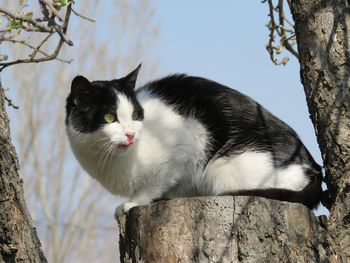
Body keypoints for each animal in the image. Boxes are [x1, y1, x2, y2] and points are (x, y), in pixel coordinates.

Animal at [65, 65, 322, 218]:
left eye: (136, 115)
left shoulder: (191, 137)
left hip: (223, 170)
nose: (130, 134)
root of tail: (314, 168)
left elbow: (156, 182)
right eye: (110, 117)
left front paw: (134, 202)